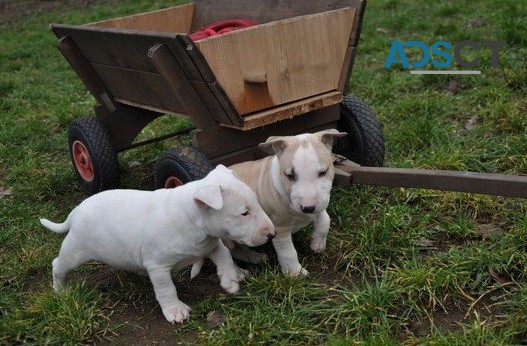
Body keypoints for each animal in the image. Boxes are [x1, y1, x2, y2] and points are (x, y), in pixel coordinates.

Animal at [40, 164, 276, 324]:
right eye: (244, 213)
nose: (272, 234)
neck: (191, 219)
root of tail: (77, 211)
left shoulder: (209, 245)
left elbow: (225, 255)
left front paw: (230, 281)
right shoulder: (158, 266)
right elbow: (166, 289)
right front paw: (175, 311)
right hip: (75, 250)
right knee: (58, 264)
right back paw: (60, 290)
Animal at [228, 128, 346, 278]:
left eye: (323, 172)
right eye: (289, 176)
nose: (308, 207)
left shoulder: (320, 204)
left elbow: (325, 219)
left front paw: (318, 244)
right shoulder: (279, 228)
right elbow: (288, 251)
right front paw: (295, 273)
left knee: (237, 248)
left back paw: (256, 257)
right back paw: (239, 274)